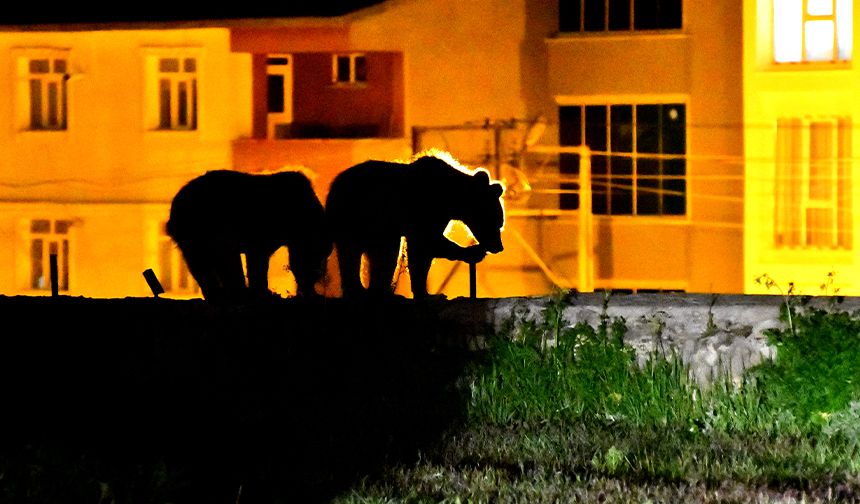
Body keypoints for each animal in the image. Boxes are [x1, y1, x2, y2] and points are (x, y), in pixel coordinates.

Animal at [167, 169, 332, 304]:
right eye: (318, 256)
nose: (318, 278)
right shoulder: (262, 232)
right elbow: (257, 261)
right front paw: (262, 293)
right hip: (209, 222)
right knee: (225, 256)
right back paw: (237, 293)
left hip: (192, 236)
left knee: (200, 264)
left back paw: (218, 295)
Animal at [328, 151, 504, 300]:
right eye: (498, 222)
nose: (499, 247)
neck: (451, 198)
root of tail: (334, 187)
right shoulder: (424, 209)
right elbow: (425, 242)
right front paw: (472, 252)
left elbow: (421, 254)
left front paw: (425, 292)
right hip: (364, 218)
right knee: (381, 252)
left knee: (354, 254)